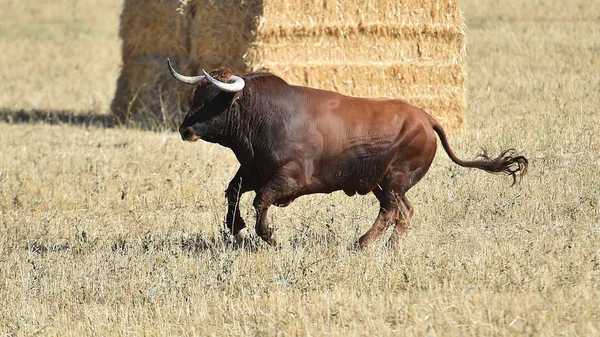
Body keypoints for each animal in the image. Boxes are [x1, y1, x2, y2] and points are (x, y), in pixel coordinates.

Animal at [166, 59, 528, 247]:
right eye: (196, 94)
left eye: (214, 99)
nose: (185, 130)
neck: (264, 116)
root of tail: (427, 119)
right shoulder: (252, 171)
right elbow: (233, 193)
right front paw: (238, 229)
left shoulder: (290, 179)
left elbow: (260, 200)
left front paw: (267, 235)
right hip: (385, 182)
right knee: (403, 211)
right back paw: (388, 247)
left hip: (395, 178)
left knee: (391, 211)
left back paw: (364, 243)